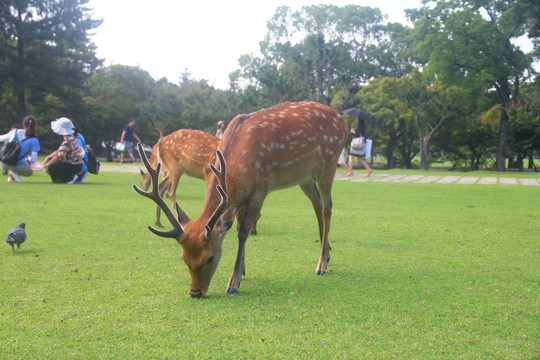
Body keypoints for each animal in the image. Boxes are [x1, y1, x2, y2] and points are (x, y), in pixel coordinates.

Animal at [133, 101, 348, 298]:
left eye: (210, 258)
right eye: (184, 258)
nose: (195, 292)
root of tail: (343, 121)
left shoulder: (259, 191)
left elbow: (243, 233)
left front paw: (233, 282)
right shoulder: (240, 199)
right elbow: (236, 227)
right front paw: (243, 271)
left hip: (329, 163)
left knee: (328, 207)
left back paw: (321, 264)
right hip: (304, 177)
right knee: (317, 204)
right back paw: (327, 252)